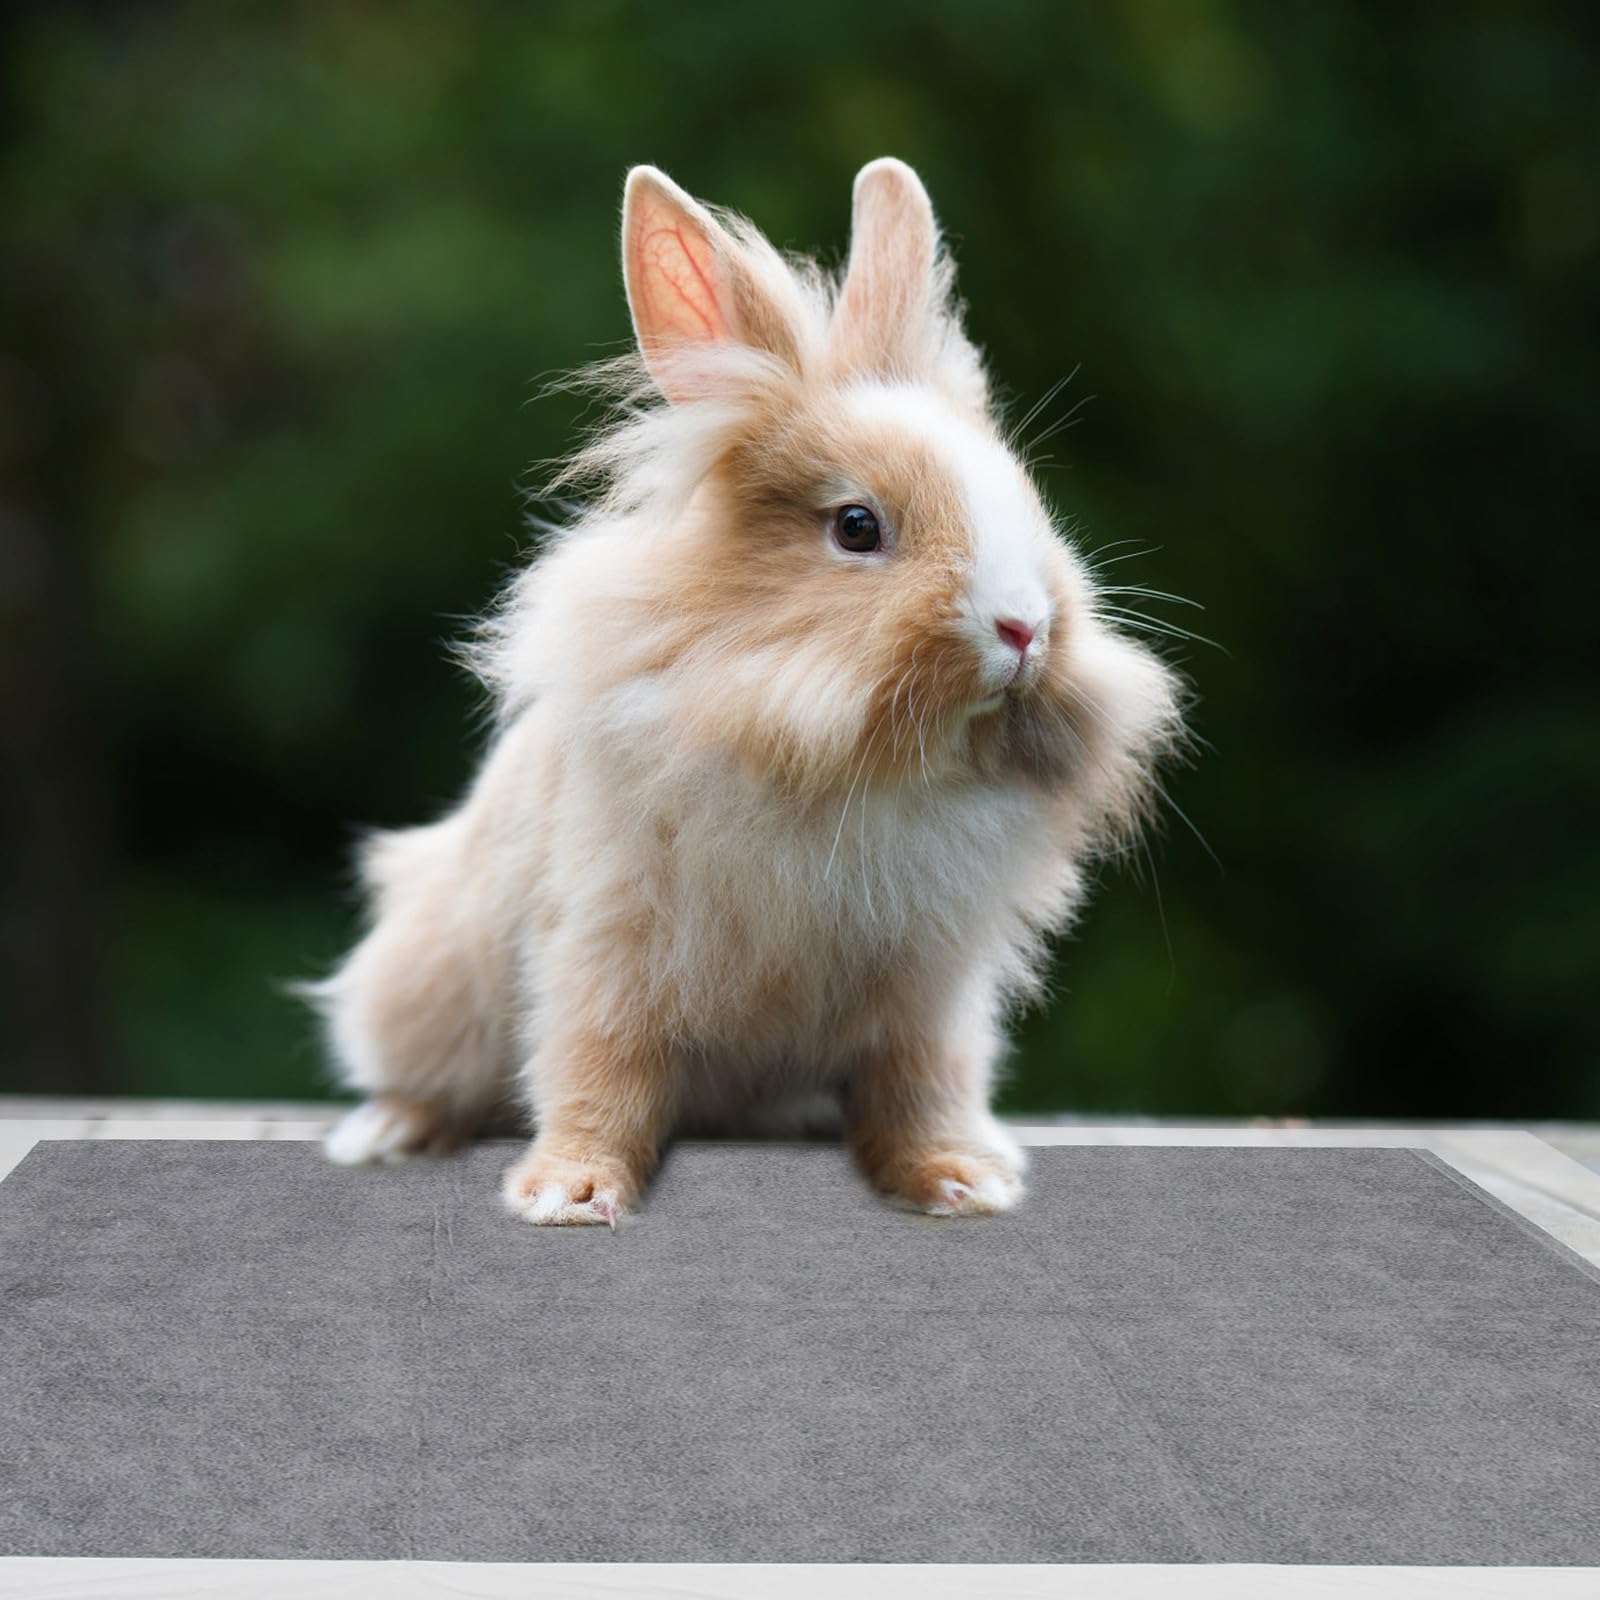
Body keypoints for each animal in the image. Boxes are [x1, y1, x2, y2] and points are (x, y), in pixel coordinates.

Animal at [307, 158, 1183, 1225]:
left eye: (1028, 503)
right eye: (856, 527)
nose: (1024, 629)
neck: (850, 763)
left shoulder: (929, 996)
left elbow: (921, 1091)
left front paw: (961, 1182)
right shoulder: (610, 947)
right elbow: (599, 1072)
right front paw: (570, 1194)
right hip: (429, 980)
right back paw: (385, 1133)